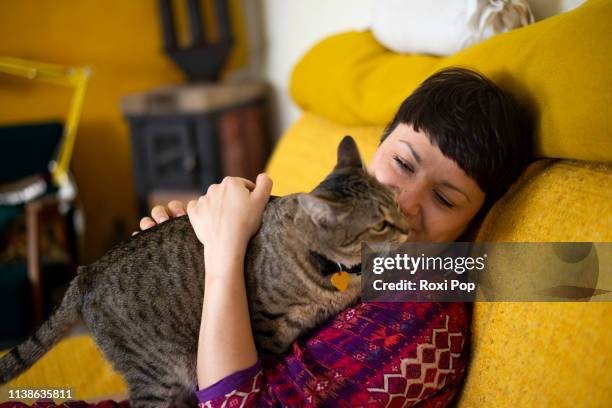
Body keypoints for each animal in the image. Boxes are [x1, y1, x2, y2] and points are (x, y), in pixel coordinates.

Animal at [1, 135, 412, 406]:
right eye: (380, 224)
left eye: (397, 203)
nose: (408, 228)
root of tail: (86, 273)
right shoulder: (267, 331)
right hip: (158, 375)